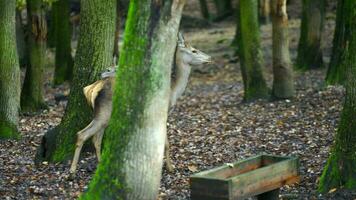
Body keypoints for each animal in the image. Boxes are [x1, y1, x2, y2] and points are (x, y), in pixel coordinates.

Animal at [69, 32, 211, 175]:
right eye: (194, 50)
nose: (209, 58)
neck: (173, 90)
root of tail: (91, 89)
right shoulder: (162, 112)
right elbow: (165, 143)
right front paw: (170, 168)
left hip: (103, 114)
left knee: (96, 139)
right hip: (104, 112)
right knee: (82, 134)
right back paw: (72, 170)